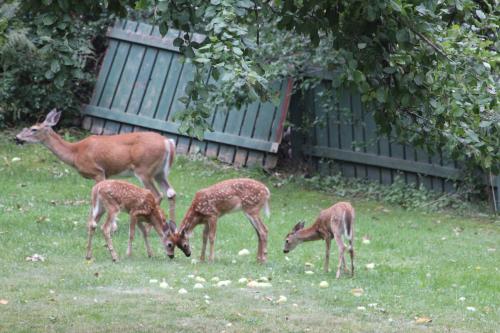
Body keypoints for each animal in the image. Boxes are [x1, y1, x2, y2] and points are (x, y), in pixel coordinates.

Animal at [15, 109, 177, 222]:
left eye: (34, 129)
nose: (17, 138)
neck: (75, 153)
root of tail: (168, 142)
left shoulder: (98, 171)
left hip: (144, 169)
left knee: (157, 194)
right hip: (160, 172)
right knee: (171, 193)